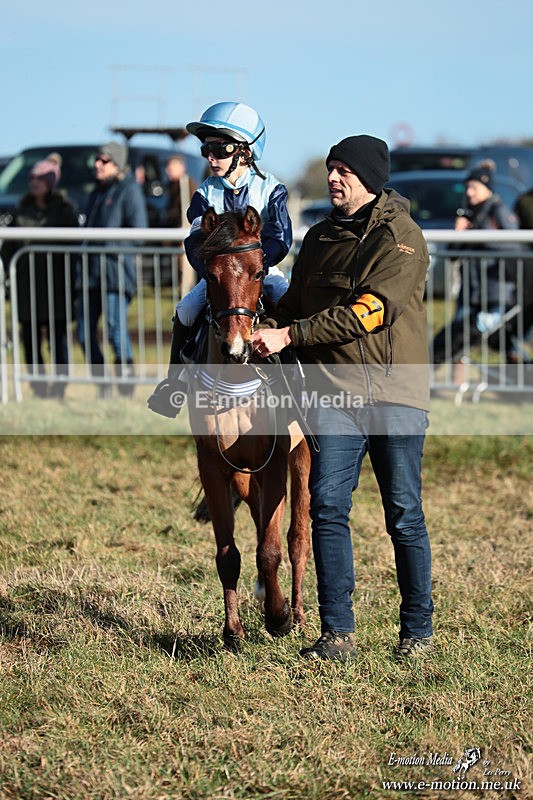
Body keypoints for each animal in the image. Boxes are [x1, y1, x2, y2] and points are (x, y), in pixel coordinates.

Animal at [187, 205, 311, 650]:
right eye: (209, 275)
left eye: (259, 271)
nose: (236, 348)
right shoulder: (213, 464)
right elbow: (229, 553)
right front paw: (233, 631)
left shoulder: (274, 461)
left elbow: (271, 548)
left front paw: (278, 617)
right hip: (243, 473)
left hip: (301, 459)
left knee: (297, 538)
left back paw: (297, 612)